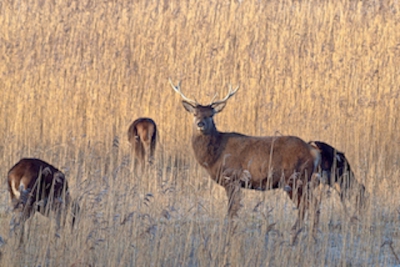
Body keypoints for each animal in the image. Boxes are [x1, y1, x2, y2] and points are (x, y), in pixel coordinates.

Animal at [170, 78, 322, 231]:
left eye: (211, 115)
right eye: (195, 114)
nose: (200, 124)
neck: (216, 155)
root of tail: (314, 151)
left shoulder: (233, 178)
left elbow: (232, 210)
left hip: (297, 178)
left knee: (310, 205)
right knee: (308, 205)